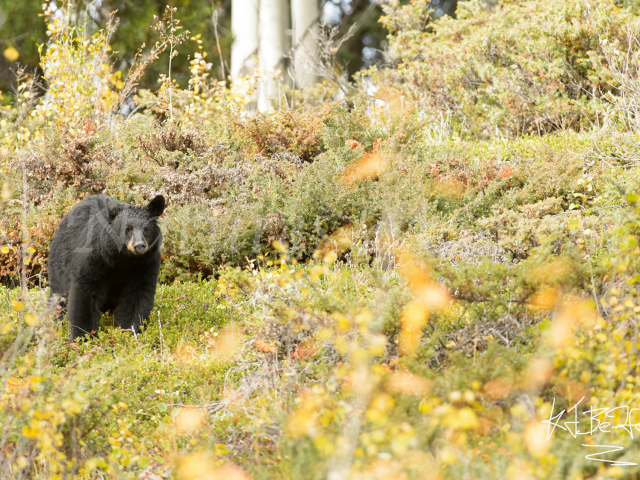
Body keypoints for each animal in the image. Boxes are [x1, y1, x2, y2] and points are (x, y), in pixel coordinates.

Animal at [49, 193, 166, 340]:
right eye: (127, 228)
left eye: (146, 228)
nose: (139, 246)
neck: (123, 259)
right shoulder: (94, 259)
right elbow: (85, 293)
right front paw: (83, 336)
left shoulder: (145, 265)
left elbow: (137, 296)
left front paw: (129, 331)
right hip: (59, 266)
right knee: (58, 296)